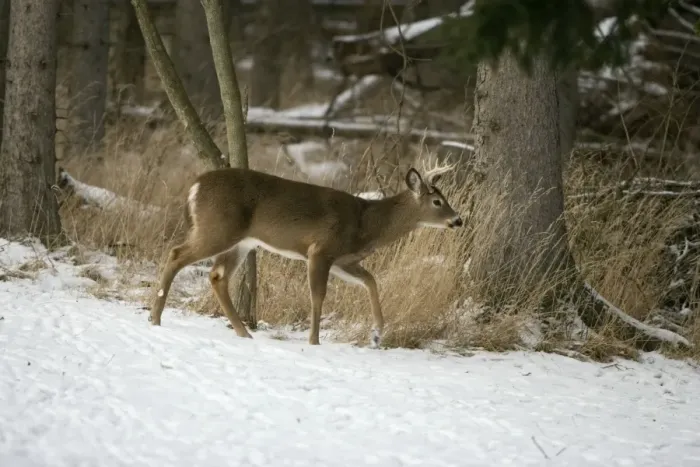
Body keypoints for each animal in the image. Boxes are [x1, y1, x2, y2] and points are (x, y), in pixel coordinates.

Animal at [150, 163, 463, 348]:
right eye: (438, 201)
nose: (458, 220)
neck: (365, 223)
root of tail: (194, 187)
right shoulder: (321, 249)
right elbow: (318, 296)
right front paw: (314, 341)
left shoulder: (343, 260)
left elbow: (372, 281)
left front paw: (376, 333)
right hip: (219, 229)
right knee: (176, 254)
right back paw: (155, 319)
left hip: (241, 241)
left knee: (217, 276)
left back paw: (243, 333)